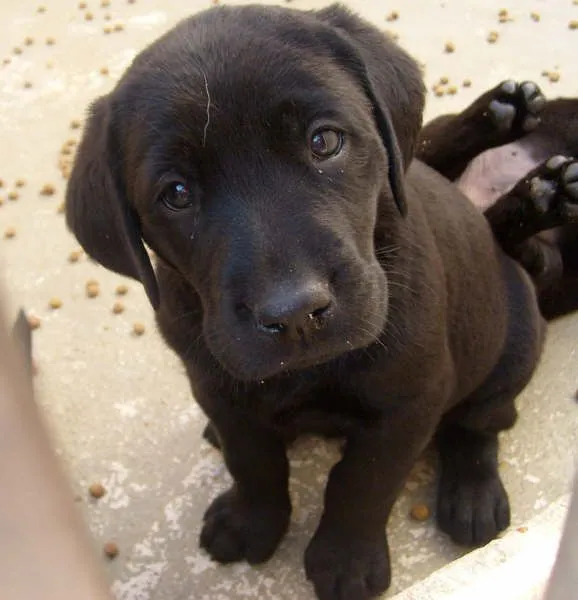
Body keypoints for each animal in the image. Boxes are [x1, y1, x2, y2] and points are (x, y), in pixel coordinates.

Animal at [65, 5, 548, 600]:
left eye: (324, 142)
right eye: (175, 194)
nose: (295, 312)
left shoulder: (410, 401)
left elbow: (363, 483)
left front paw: (346, 563)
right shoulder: (218, 387)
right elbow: (252, 462)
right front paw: (249, 522)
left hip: (514, 341)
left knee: (481, 422)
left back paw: (473, 496)